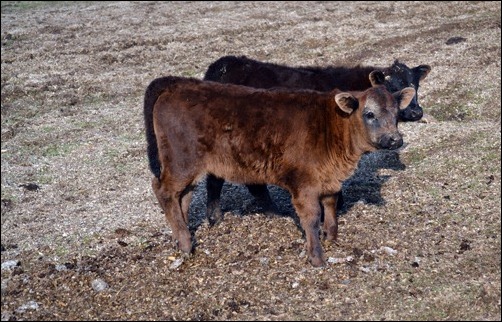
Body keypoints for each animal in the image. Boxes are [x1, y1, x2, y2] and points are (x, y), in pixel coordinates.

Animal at [143, 73, 414, 266]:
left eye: (396, 113)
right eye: (369, 114)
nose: (395, 139)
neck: (332, 126)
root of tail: (177, 84)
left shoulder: (329, 179)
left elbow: (330, 204)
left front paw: (331, 236)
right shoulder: (304, 184)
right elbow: (311, 217)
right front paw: (317, 257)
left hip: (188, 168)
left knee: (183, 196)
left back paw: (182, 236)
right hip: (181, 162)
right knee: (163, 191)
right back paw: (185, 243)